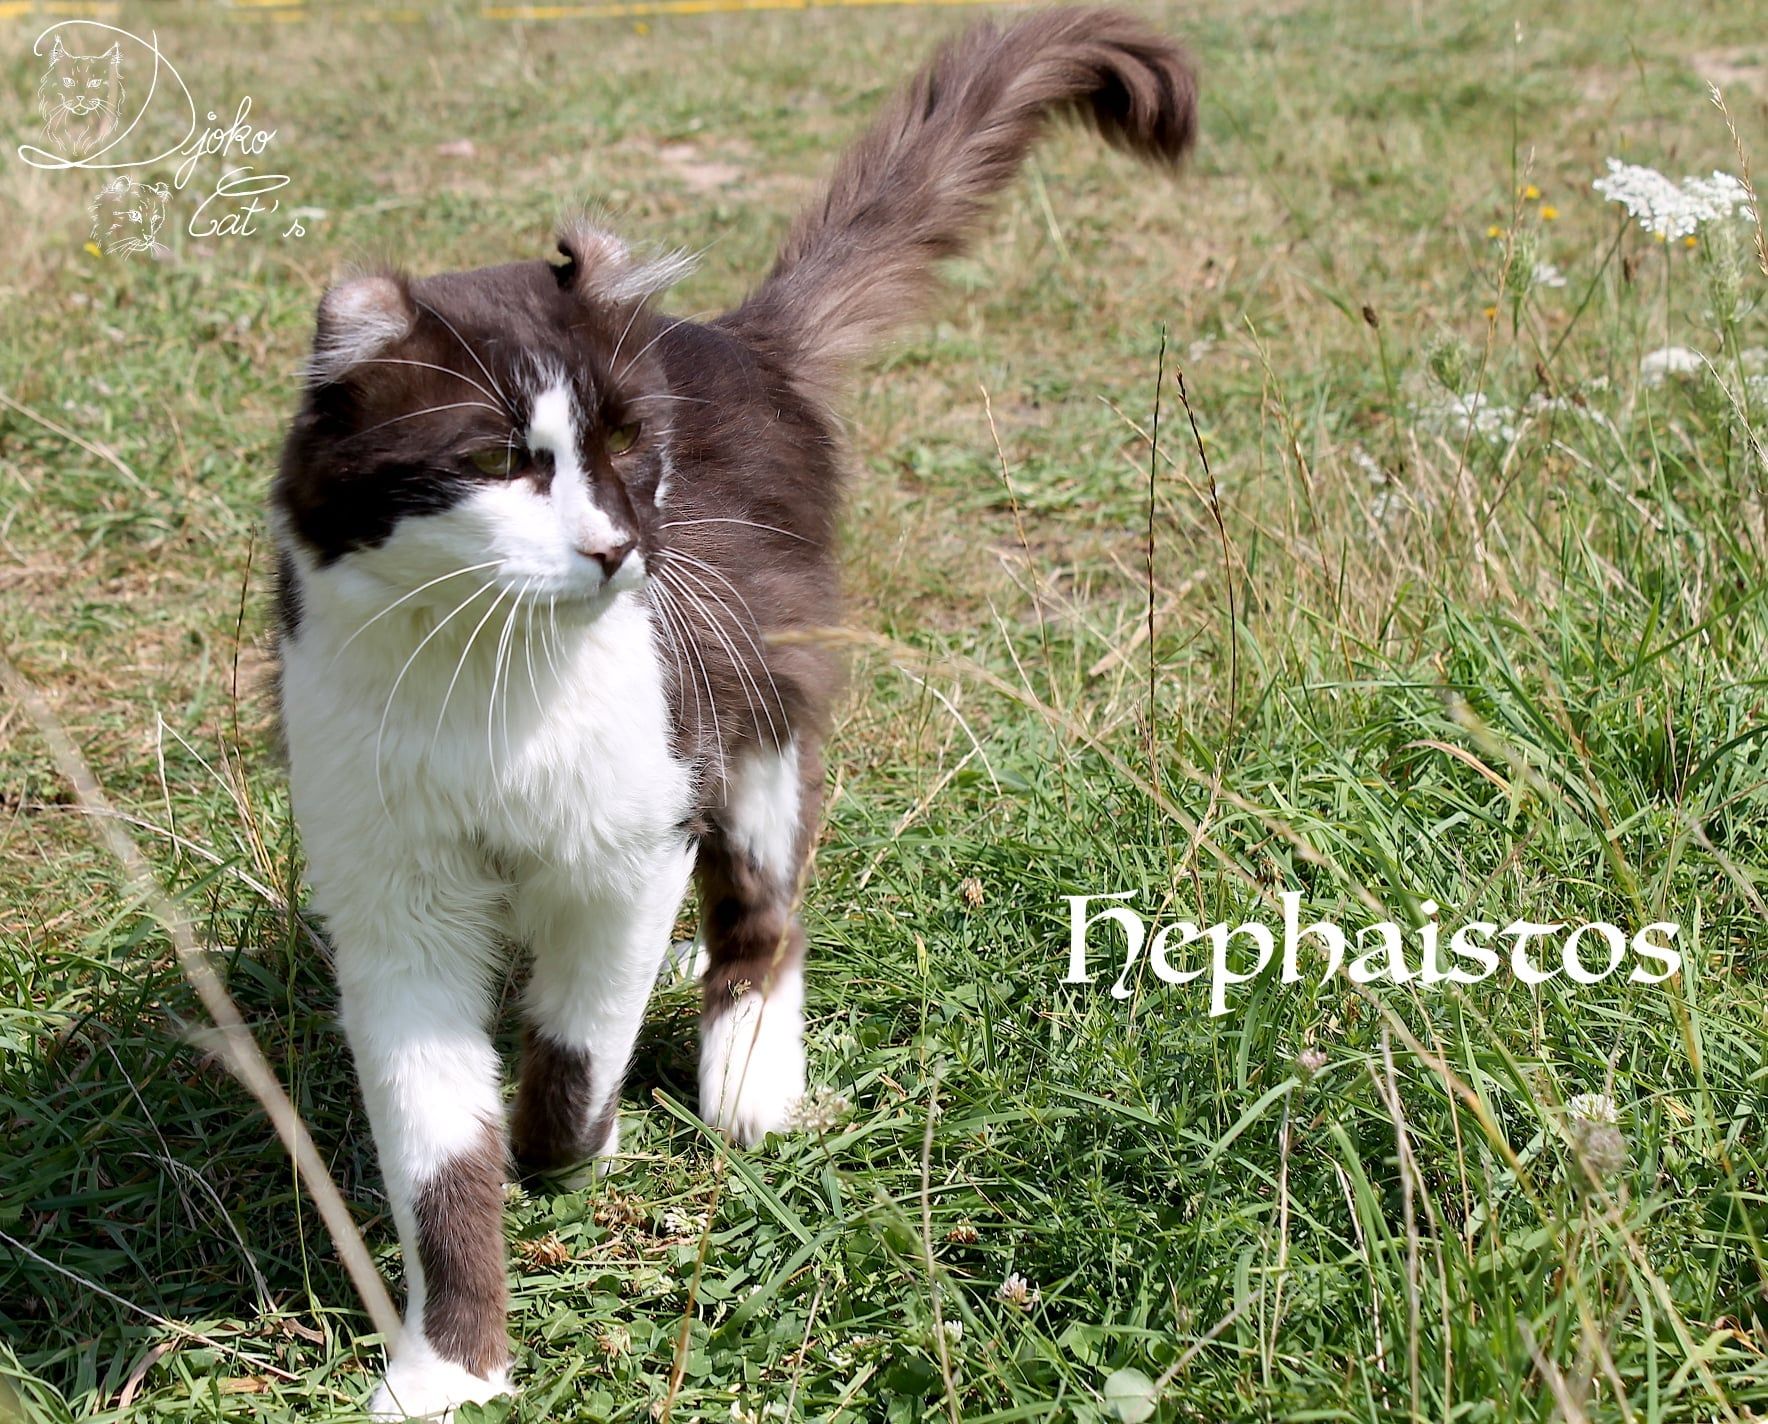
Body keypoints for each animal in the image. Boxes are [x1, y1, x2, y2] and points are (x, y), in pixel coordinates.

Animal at [271, 10, 1196, 1418]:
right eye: (495, 461)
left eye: (625, 447)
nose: (615, 547)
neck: (484, 680)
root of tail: (738, 338)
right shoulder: (391, 898)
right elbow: (440, 1158)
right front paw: (449, 1367)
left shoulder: (636, 826)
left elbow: (576, 1046)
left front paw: (579, 1145)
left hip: (764, 708)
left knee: (764, 909)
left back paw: (747, 1067)